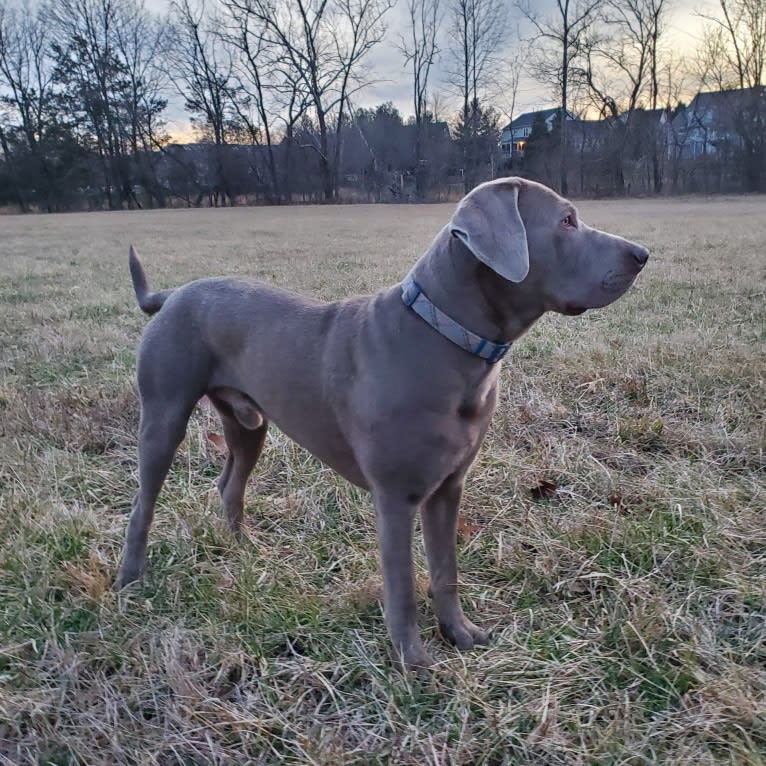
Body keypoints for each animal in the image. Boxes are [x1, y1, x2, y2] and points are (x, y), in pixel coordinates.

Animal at [117, 177, 652, 668]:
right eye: (566, 220)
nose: (643, 253)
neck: (447, 337)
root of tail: (172, 294)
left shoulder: (448, 488)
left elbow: (445, 569)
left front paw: (459, 633)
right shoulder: (396, 496)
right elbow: (402, 584)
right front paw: (412, 660)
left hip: (248, 423)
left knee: (230, 483)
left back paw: (245, 550)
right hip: (164, 415)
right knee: (143, 504)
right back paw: (130, 581)